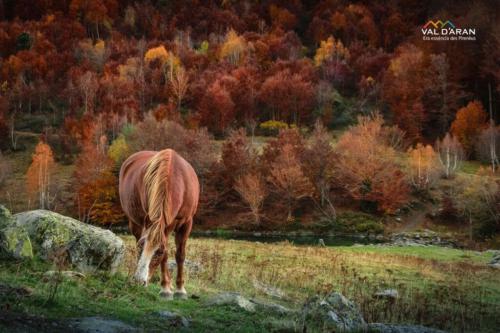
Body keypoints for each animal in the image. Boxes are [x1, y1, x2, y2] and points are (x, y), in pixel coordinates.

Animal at [119, 148, 199, 298]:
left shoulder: (186, 223)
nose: (139, 281)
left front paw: (180, 289)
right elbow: (167, 256)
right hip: (135, 223)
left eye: (158, 252)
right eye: (140, 246)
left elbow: (180, 255)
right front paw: (165, 289)